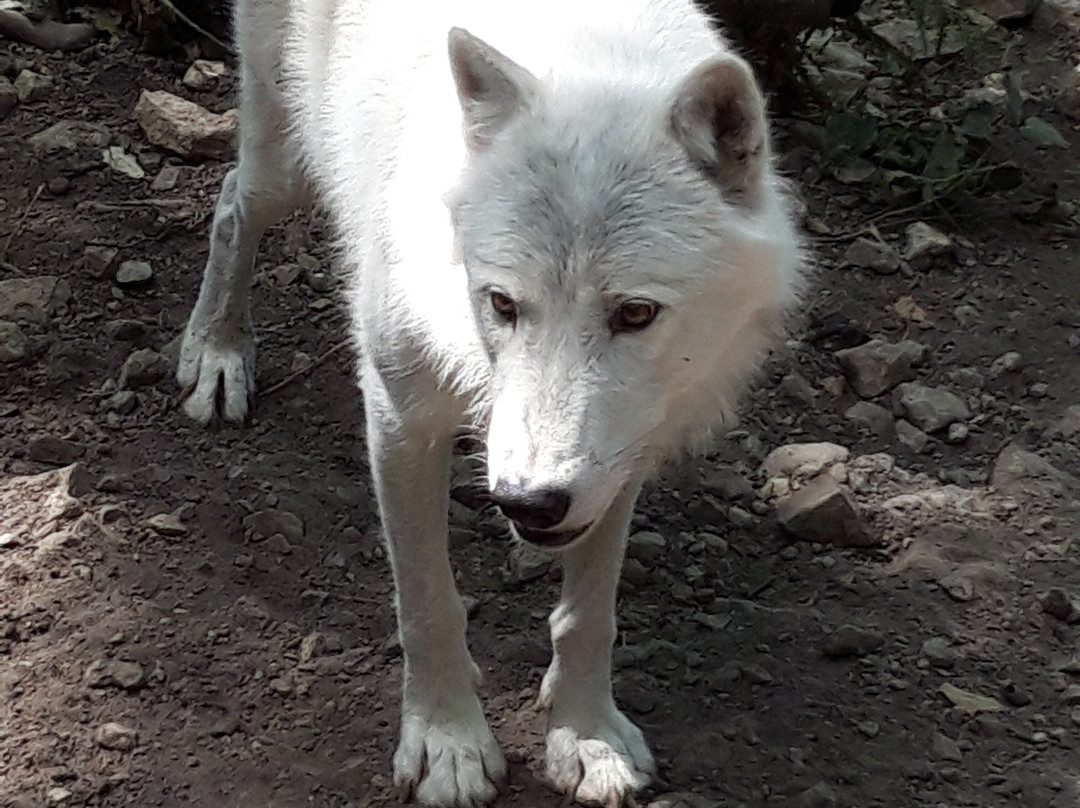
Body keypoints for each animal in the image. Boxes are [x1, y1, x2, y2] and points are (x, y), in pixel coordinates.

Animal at [177, 0, 803, 803]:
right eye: (502, 303)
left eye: (635, 313)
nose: (527, 503)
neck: (595, 64)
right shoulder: (400, 418)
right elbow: (427, 603)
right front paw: (447, 746)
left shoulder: (615, 456)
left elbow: (588, 614)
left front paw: (587, 736)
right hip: (284, 153)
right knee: (233, 199)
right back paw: (216, 351)